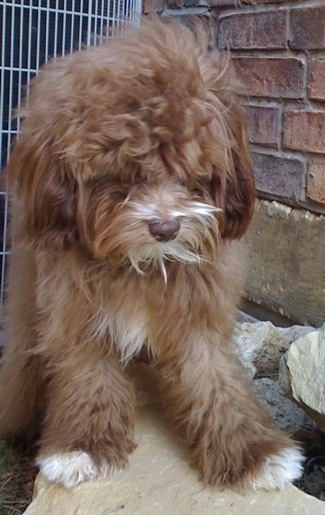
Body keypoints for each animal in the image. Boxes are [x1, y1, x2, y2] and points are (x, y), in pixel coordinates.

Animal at [0, 17, 304, 492]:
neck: (141, 265)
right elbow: (86, 373)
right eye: (124, 174)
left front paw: (252, 451)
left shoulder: (198, 310)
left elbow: (214, 378)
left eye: (193, 171)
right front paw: (82, 447)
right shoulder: (75, 309)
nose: (166, 227)